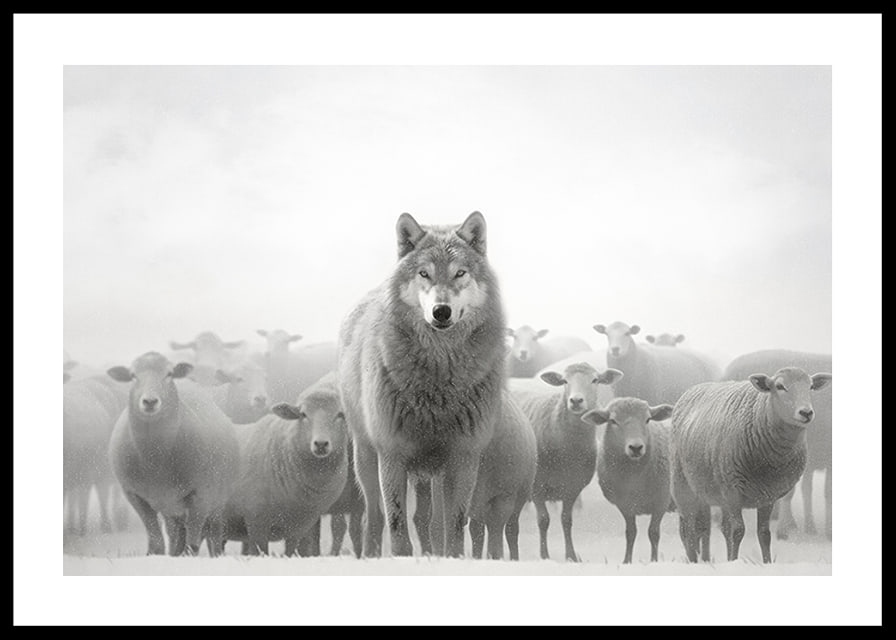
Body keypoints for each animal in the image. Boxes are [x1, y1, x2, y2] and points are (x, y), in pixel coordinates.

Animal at [337, 210, 507, 558]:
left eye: (459, 273)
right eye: (424, 273)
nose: (441, 311)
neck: (439, 380)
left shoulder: (463, 456)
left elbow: (454, 526)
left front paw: (452, 559)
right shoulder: (392, 454)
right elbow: (397, 525)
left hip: (433, 475)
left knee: (432, 522)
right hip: (366, 459)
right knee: (373, 517)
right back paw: (370, 555)